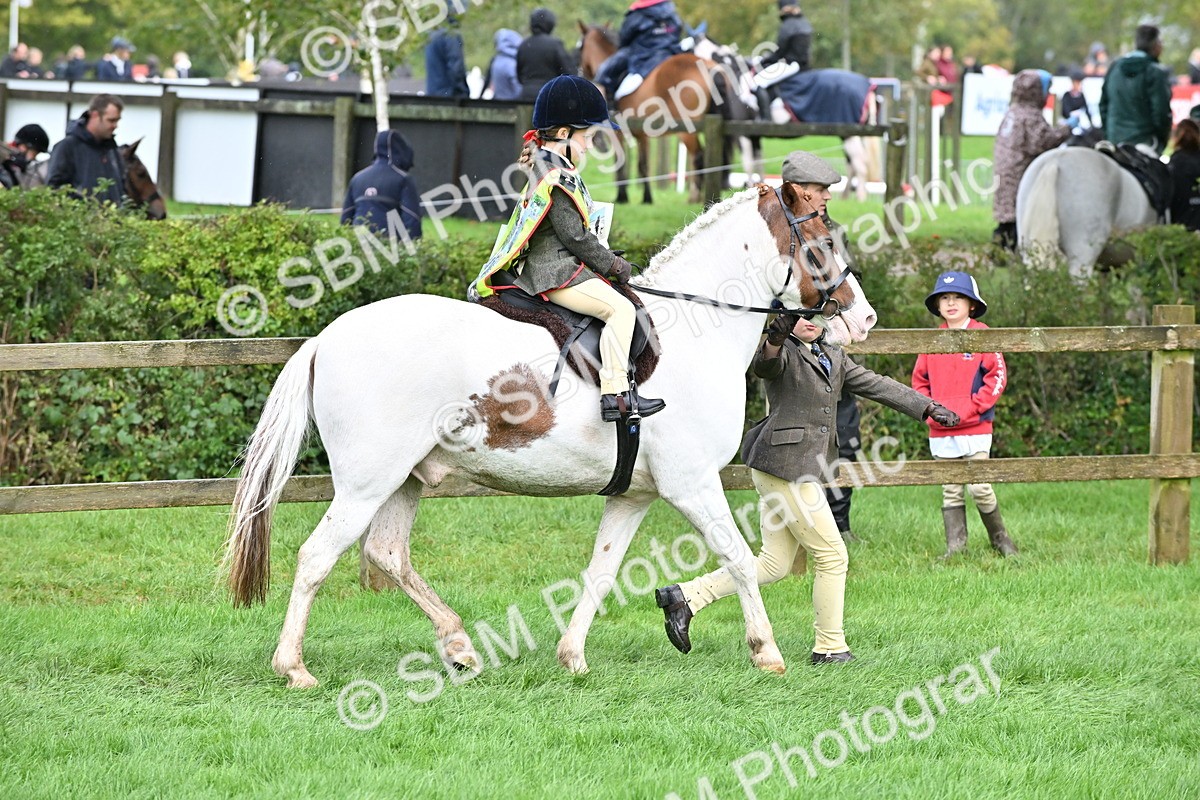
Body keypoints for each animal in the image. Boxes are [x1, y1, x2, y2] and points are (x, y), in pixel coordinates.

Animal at [223, 182, 878, 688]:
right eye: (821, 242)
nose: (862, 318)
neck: (695, 330)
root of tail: (325, 338)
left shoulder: (634, 495)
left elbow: (601, 571)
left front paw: (573, 658)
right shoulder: (691, 485)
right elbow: (739, 558)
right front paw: (767, 653)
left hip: (406, 478)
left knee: (387, 554)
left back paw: (459, 646)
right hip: (366, 482)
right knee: (316, 557)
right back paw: (294, 667)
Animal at [576, 23, 751, 205]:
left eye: (580, 47)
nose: (580, 72)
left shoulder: (619, 133)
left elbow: (622, 163)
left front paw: (622, 197)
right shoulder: (642, 134)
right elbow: (643, 164)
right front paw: (647, 198)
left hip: (687, 130)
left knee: (699, 156)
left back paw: (696, 196)